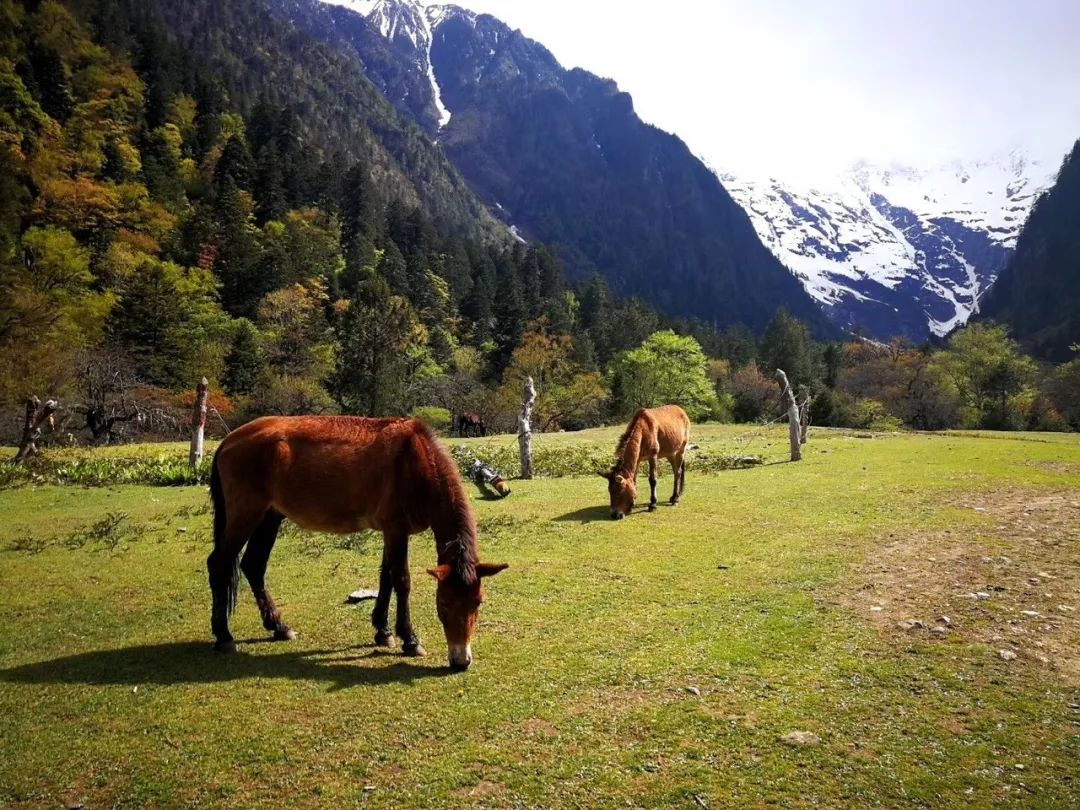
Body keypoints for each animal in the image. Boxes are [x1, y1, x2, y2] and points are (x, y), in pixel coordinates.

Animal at [208, 414, 507, 669]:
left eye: (478, 602)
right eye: (443, 603)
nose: (461, 661)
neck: (416, 461)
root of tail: (229, 440)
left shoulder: (391, 532)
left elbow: (386, 578)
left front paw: (383, 631)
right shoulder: (396, 530)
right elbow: (402, 581)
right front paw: (409, 640)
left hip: (269, 517)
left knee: (253, 566)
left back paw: (278, 627)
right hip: (246, 515)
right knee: (219, 563)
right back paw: (224, 635)